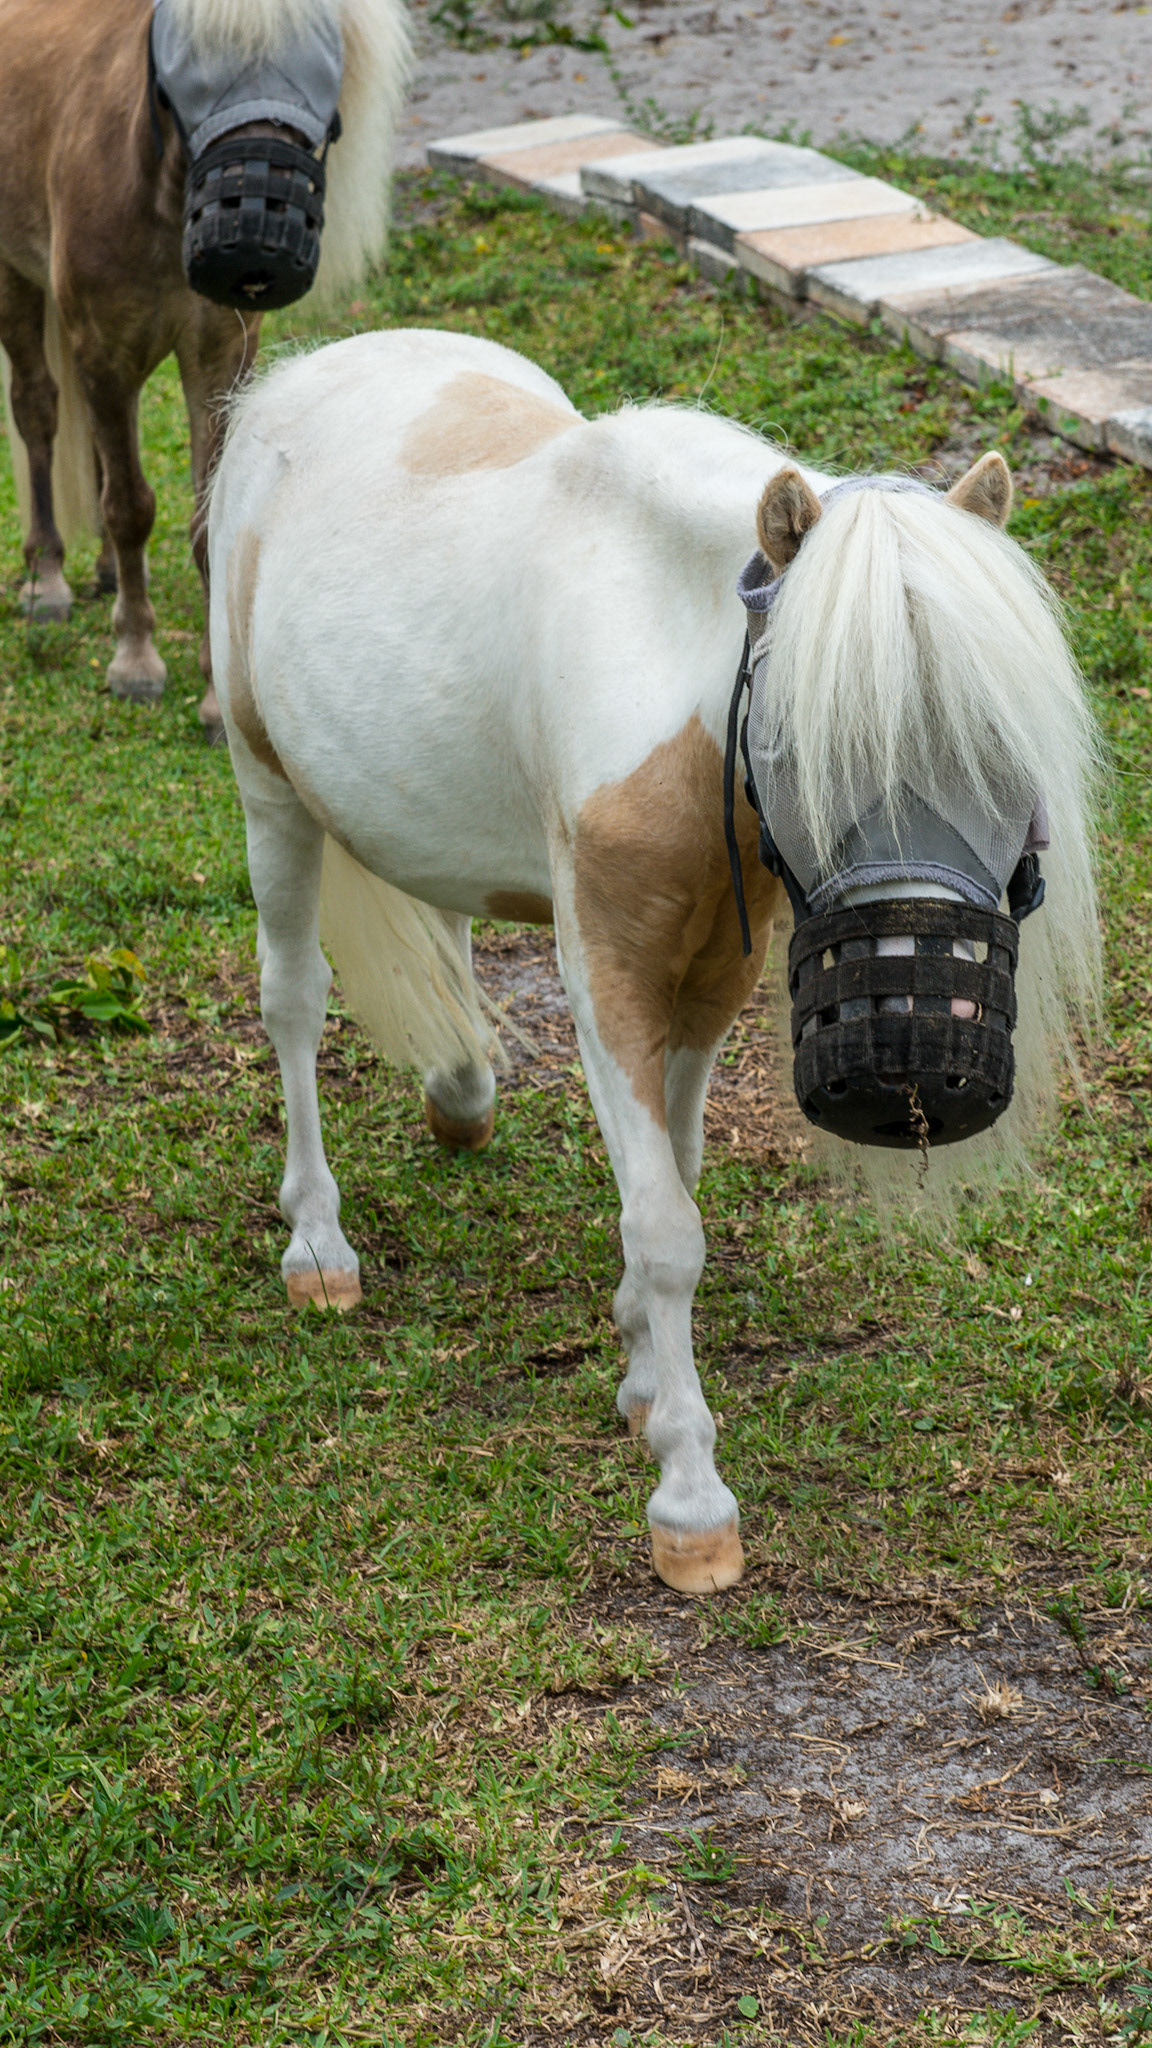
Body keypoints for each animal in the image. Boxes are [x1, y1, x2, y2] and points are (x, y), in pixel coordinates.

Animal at [0, 0, 409, 737]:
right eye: (195, 57)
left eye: (317, 50)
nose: (253, 227)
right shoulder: (103, 351)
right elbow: (130, 505)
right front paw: (135, 661)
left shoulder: (217, 359)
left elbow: (201, 515)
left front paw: (217, 695)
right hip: (15, 282)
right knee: (37, 411)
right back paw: (47, 578)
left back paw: (106, 572)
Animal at [206, 327, 1100, 1595]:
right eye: (808, 740)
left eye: (1006, 744)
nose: (919, 1066)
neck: (661, 657)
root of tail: (302, 372)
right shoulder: (610, 974)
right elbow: (667, 1226)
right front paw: (688, 1491)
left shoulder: (715, 967)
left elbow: (672, 1174)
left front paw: (638, 1368)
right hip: (267, 787)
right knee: (291, 1003)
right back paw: (318, 1242)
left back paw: (461, 1094)